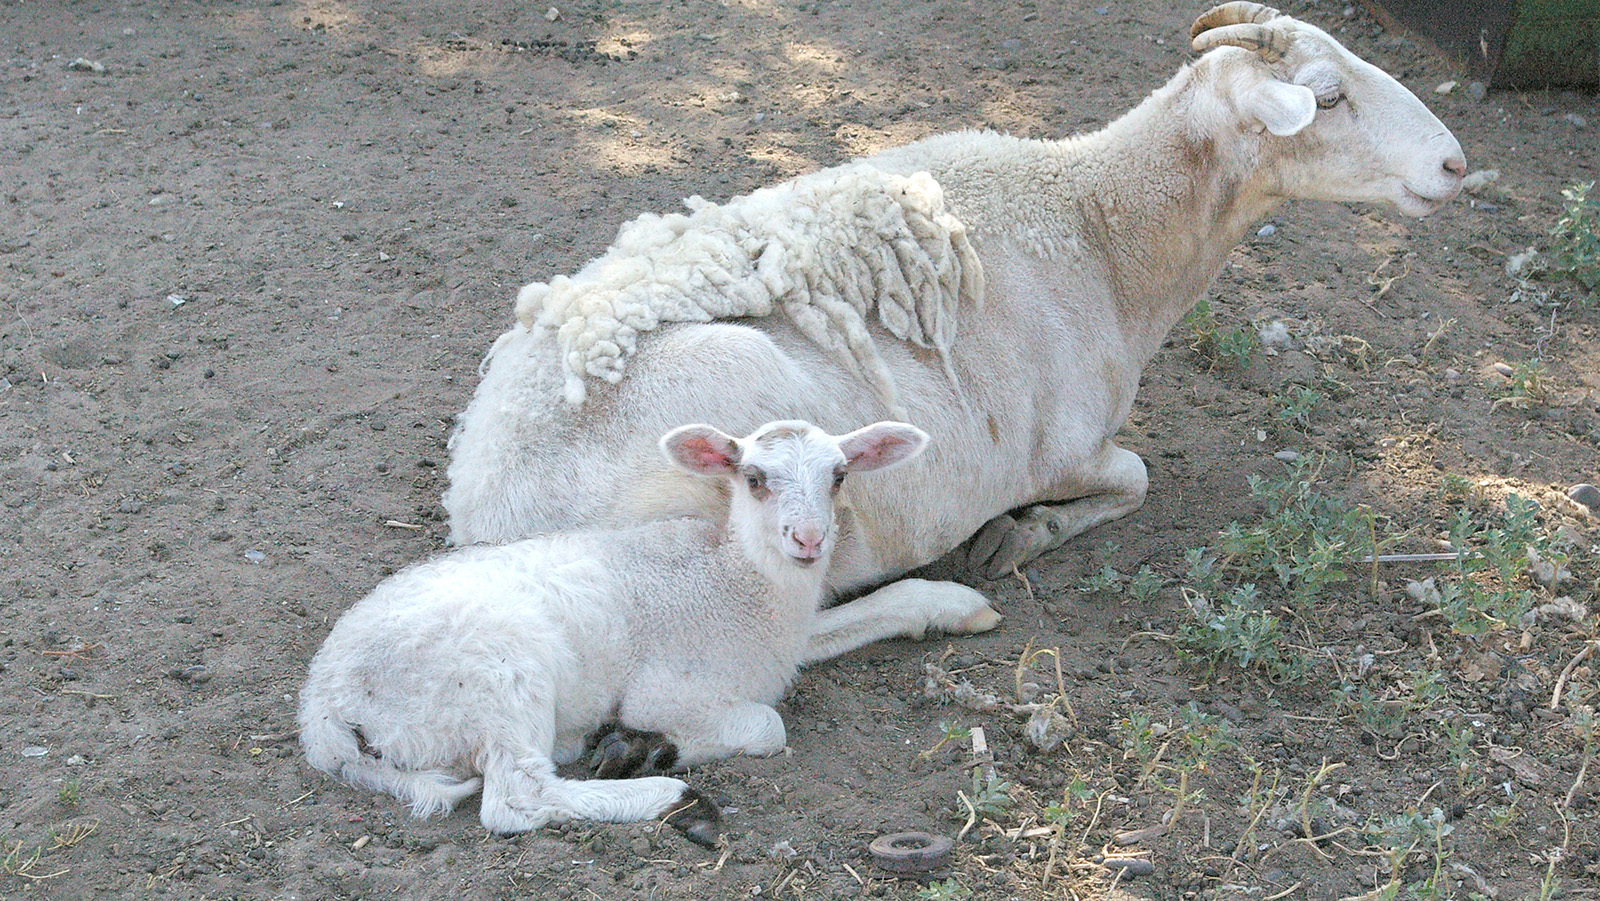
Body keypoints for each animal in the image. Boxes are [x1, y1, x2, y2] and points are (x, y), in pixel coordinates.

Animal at [298, 419, 1002, 841]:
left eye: (839, 475)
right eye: (753, 479)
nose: (808, 539)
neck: (739, 584)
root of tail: (322, 706)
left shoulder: (788, 641)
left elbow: (872, 609)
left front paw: (957, 604)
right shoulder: (666, 687)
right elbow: (766, 726)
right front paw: (650, 745)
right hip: (496, 671)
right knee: (515, 798)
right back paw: (665, 788)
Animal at [442, 2, 1467, 592]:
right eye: (1327, 96)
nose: (1457, 163)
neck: (1102, 230)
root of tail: (486, 513)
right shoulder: (1060, 445)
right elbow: (1135, 476)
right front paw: (1020, 537)